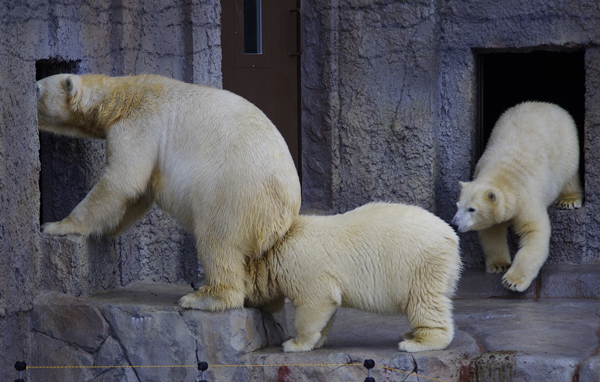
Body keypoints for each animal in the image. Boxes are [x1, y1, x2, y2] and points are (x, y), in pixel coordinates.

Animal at [35, 74, 302, 310]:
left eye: (37, 87)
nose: (31, 87)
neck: (123, 97)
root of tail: (283, 217)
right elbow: (138, 195)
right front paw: (107, 228)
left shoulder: (139, 125)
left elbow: (123, 180)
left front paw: (56, 225)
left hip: (234, 193)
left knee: (217, 239)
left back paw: (204, 297)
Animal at [244, 201, 460, 354]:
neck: (276, 247)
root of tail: (451, 236)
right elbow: (329, 306)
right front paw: (319, 339)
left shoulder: (303, 264)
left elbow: (315, 300)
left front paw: (294, 344)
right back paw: (410, 333)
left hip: (421, 264)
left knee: (423, 300)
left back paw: (417, 343)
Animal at [454, 101, 580, 292]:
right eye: (458, 205)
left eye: (471, 209)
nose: (454, 224)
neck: (504, 175)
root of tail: (547, 104)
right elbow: (492, 232)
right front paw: (499, 265)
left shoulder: (527, 199)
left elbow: (533, 232)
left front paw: (512, 281)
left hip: (566, 147)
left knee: (569, 173)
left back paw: (569, 199)